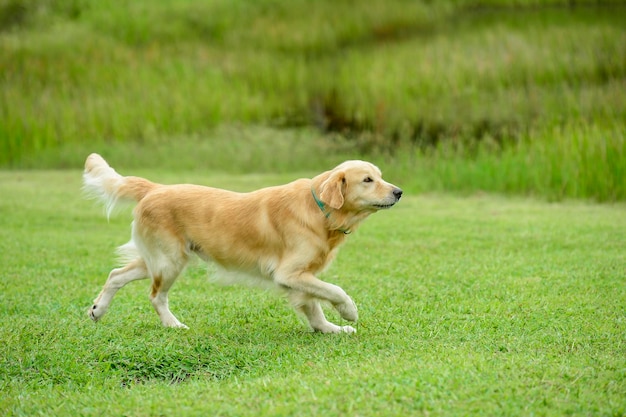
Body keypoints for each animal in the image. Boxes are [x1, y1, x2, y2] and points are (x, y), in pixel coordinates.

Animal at [81, 153, 400, 332]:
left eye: (380, 176)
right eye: (368, 180)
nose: (399, 192)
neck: (319, 209)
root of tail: (155, 188)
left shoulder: (301, 277)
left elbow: (314, 308)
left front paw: (330, 329)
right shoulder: (289, 273)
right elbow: (335, 291)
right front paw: (349, 312)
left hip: (158, 259)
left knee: (116, 275)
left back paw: (98, 310)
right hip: (170, 262)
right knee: (155, 296)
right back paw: (173, 325)